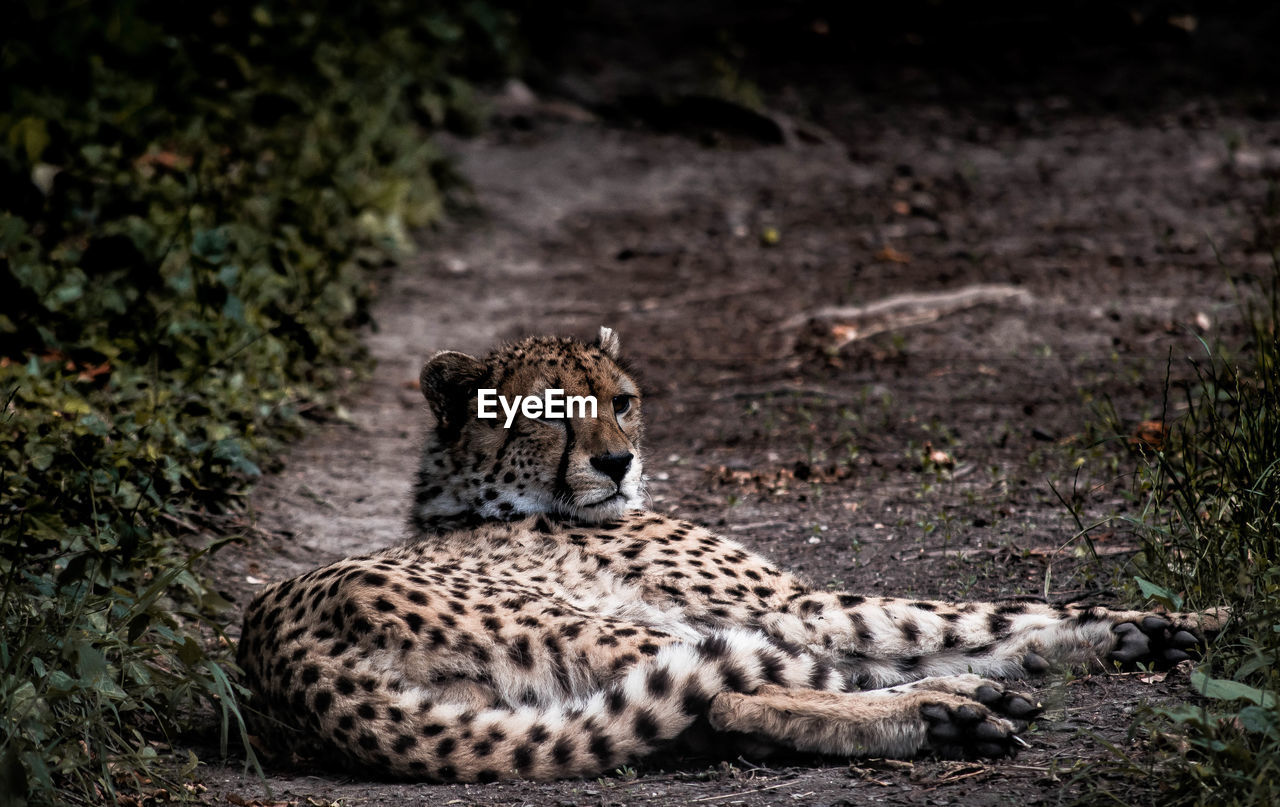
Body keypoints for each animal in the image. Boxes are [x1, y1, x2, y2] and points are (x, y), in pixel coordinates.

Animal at [240, 327, 1228, 783]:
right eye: (549, 411)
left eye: (622, 400)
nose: (617, 461)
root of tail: (275, 648)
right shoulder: (793, 604)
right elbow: (970, 612)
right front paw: (1187, 615)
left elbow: (974, 624)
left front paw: (1144, 632)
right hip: (599, 625)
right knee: (745, 690)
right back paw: (943, 712)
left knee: (718, 709)